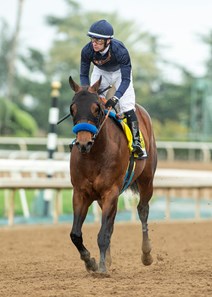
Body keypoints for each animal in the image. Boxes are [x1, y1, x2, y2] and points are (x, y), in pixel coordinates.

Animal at [68, 74, 157, 272]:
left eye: (97, 109)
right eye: (72, 109)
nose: (83, 143)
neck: (94, 155)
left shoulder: (110, 191)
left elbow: (103, 234)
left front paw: (101, 268)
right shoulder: (81, 193)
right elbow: (76, 234)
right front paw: (91, 261)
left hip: (147, 180)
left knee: (143, 210)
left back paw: (146, 254)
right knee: (111, 223)